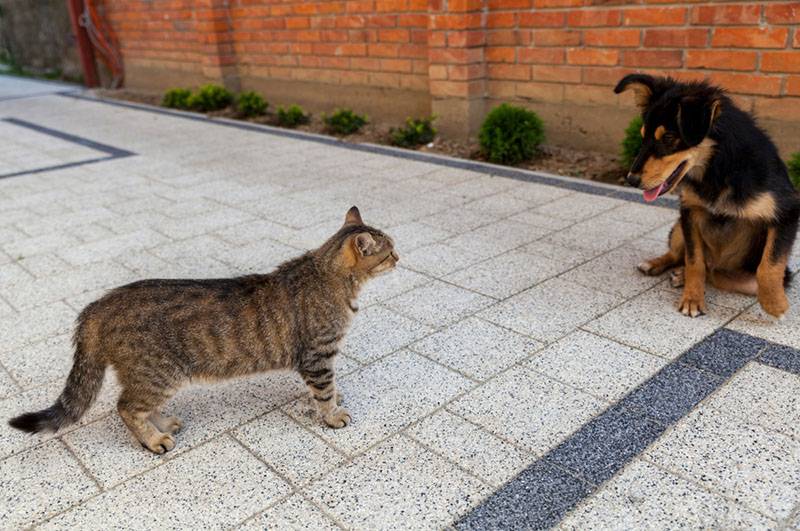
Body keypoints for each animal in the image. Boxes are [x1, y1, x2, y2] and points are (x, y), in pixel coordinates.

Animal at [9, 207, 396, 454]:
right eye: (389, 251)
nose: (400, 256)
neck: (328, 274)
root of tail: (98, 305)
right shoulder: (318, 356)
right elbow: (324, 390)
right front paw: (332, 414)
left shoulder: (318, 358)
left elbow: (328, 388)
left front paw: (334, 400)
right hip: (160, 373)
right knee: (126, 406)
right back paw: (154, 440)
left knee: (135, 403)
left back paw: (163, 423)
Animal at [616, 75, 796, 320]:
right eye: (643, 136)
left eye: (669, 137)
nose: (631, 180)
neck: (718, 169)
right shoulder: (689, 212)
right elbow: (694, 261)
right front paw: (692, 299)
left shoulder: (786, 212)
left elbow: (769, 266)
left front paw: (775, 305)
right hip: (678, 227)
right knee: (684, 257)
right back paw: (657, 265)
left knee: (715, 272)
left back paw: (681, 275)